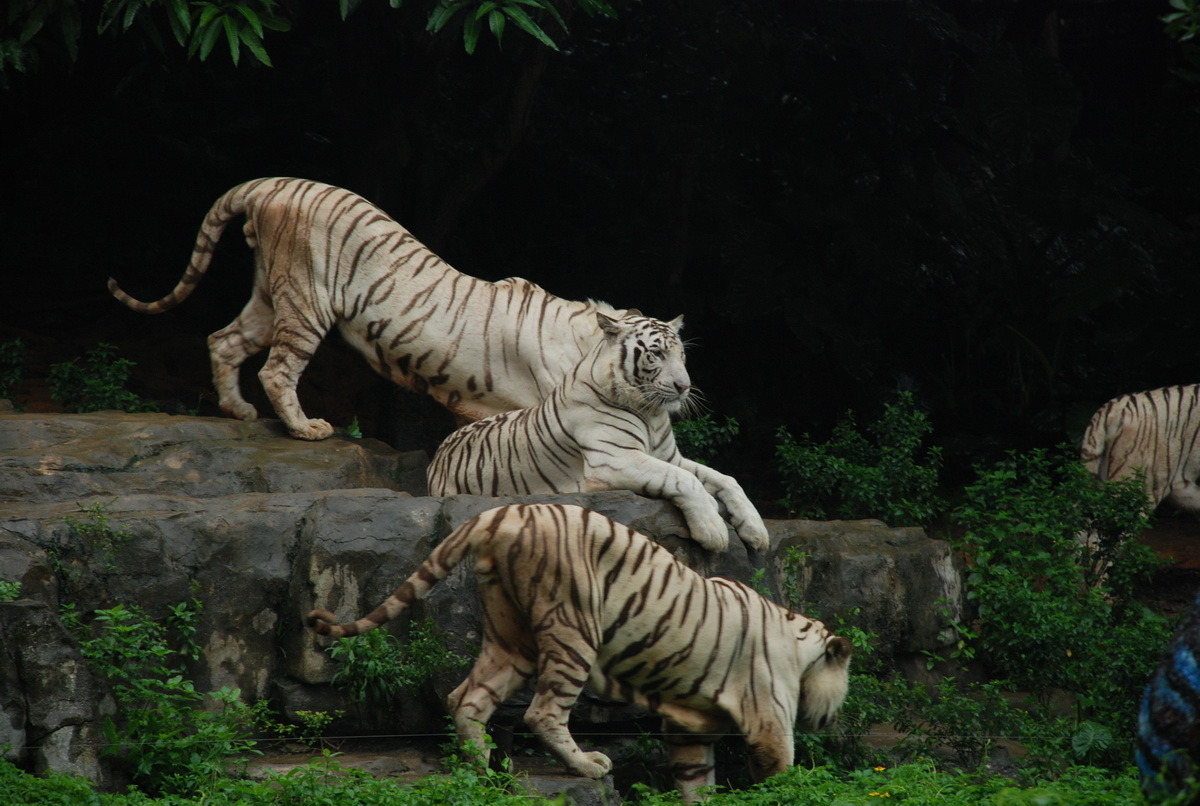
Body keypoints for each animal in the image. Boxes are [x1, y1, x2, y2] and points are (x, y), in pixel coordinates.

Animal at [108, 177, 633, 441]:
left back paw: (239, 411)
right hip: (306, 299)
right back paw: (307, 429)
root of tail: (272, 183)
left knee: (224, 340)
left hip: (271, 296)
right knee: (277, 370)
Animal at [307, 503, 854, 801]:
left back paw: (487, 771)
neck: (801, 650)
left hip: (511, 636)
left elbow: (695, 780)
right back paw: (587, 765)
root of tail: (500, 512)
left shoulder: (688, 727)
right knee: (542, 712)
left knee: (467, 698)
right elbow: (778, 777)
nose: (833, 719)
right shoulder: (768, 721)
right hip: (573, 630)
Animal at [427, 309, 772, 554]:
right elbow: (685, 480)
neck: (651, 413)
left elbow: (725, 479)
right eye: (657, 353)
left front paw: (757, 531)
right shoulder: (615, 458)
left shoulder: (670, 456)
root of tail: (437, 454)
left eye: (682, 355)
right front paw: (713, 530)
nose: (684, 387)